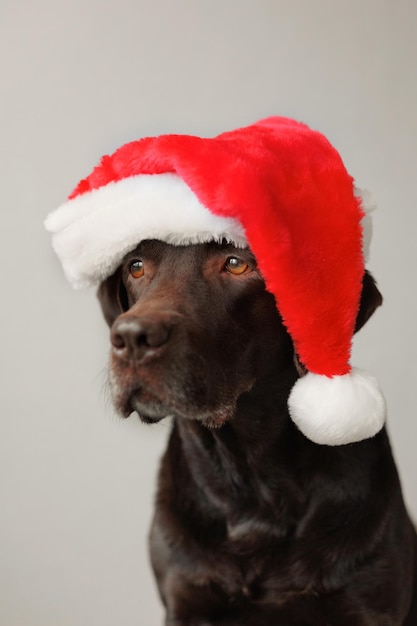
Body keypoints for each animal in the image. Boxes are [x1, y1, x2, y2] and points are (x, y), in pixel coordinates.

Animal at [98, 236, 416, 620]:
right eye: (136, 266)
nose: (132, 338)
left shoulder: (369, 605)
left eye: (236, 264)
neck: (251, 480)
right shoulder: (186, 600)